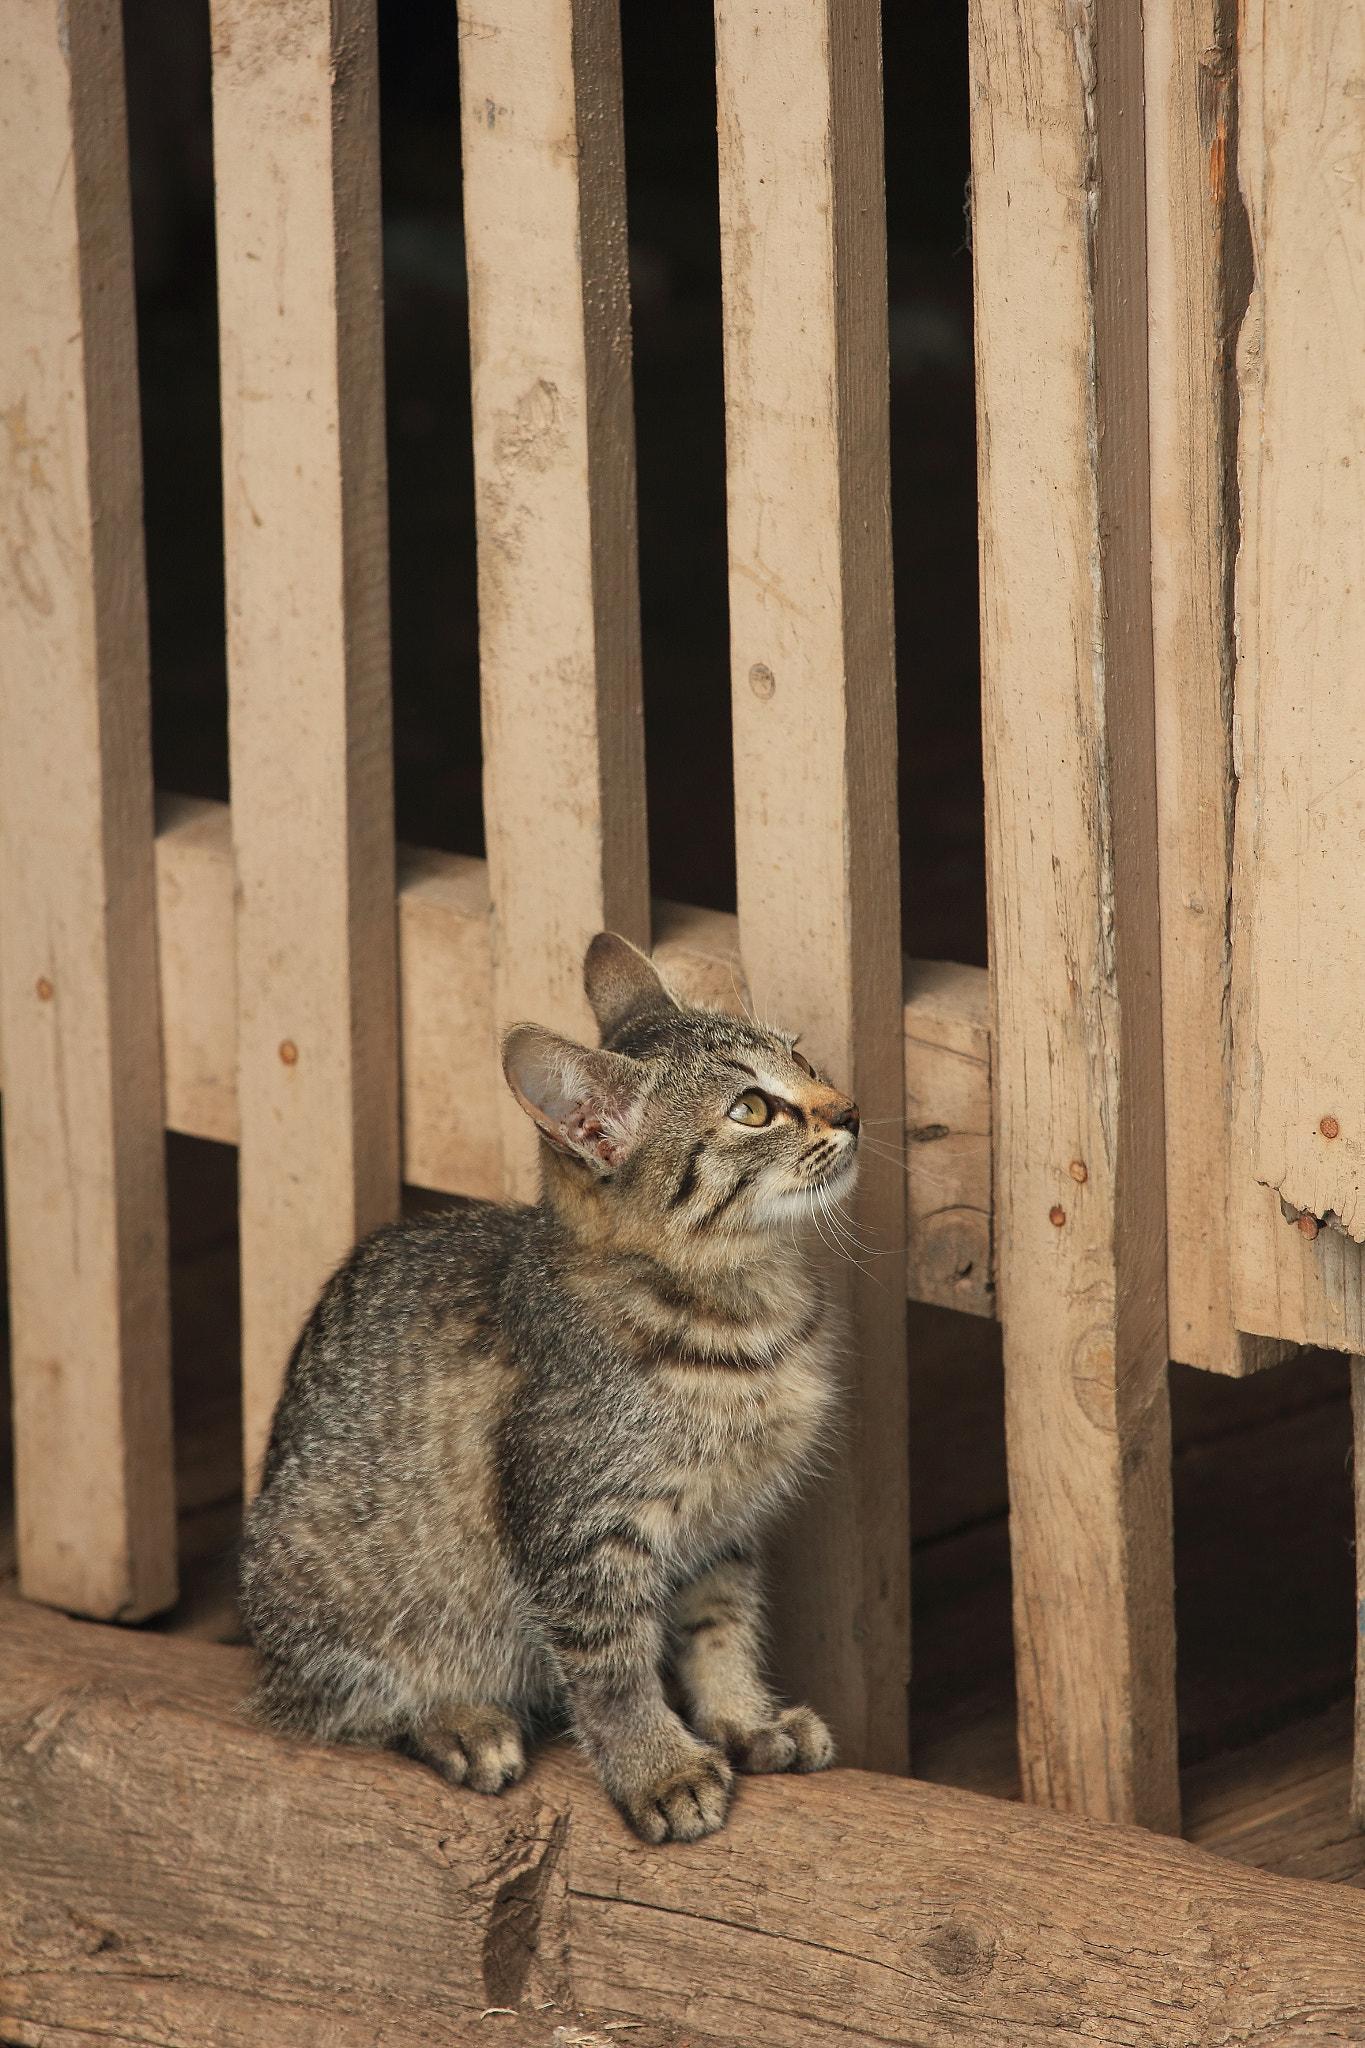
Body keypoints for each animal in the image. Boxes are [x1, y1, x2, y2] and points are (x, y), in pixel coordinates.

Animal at [235, 929, 855, 1843]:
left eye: (802, 1058)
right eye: (750, 1109)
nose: (847, 1110)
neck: (740, 1306)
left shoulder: (721, 1526)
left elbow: (721, 1630)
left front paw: (746, 1719)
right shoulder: (580, 1532)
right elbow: (613, 1670)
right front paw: (659, 1768)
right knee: (337, 1704)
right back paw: (458, 1721)